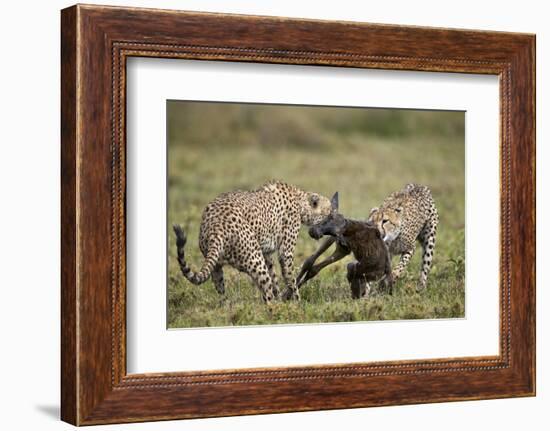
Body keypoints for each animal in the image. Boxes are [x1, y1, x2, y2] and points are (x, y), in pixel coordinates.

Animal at [174, 181, 336, 302]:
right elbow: (290, 278)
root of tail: (216, 226)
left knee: (220, 287)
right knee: (267, 295)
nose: (334, 217)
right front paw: (296, 303)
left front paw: (281, 298)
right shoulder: (285, 253)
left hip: (217, 264)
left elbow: (274, 277)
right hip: (255, 260)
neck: (299, 200)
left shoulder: (266, 252)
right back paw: (273, 311)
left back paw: (226, 306)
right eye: (329, 214)